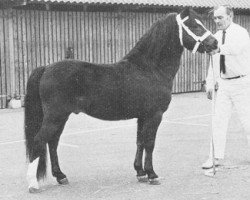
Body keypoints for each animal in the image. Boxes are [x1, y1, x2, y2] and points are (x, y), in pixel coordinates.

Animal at [24, 7, 218, 193]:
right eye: (195, 26)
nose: (215, 43)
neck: (149, 69)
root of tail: (46, 68)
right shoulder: (154, 115)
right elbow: (150, 143)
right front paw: (152, 175)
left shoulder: (143, 116)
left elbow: (140, 141)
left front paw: (140, 173)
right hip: (55, 116)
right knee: (39, 140)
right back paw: (33, 184)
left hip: (61, 117)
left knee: (53, 142)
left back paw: (61, 176)